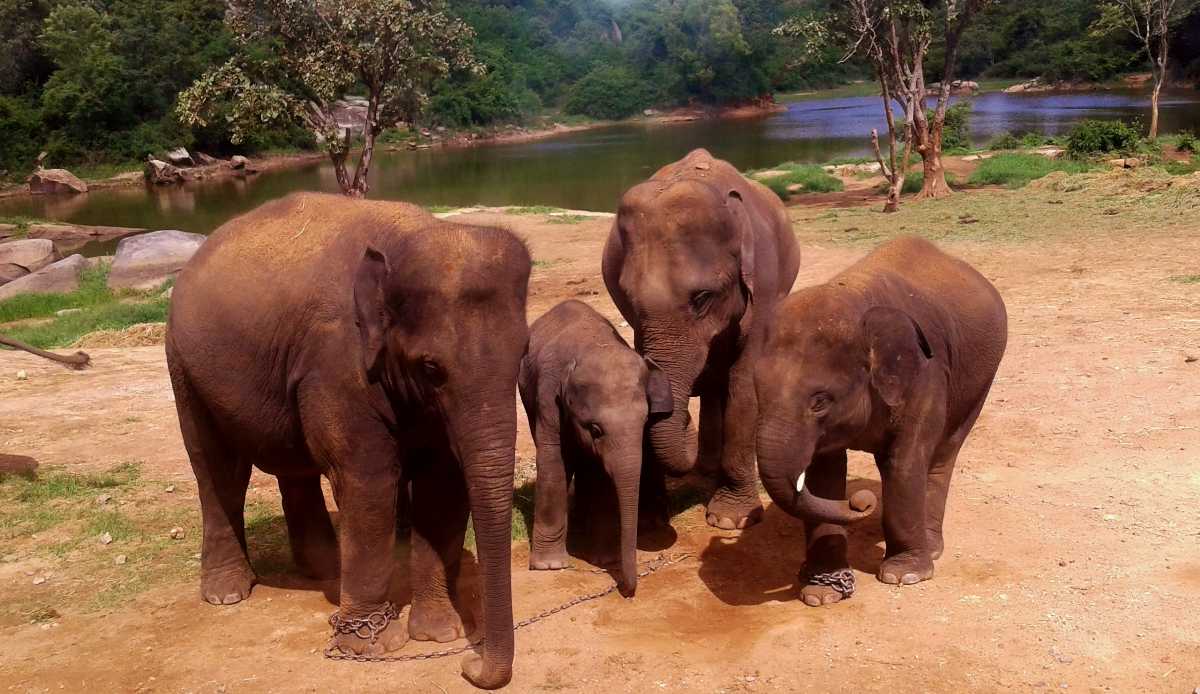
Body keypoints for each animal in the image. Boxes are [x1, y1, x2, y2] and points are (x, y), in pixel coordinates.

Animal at [165, 190, 530, 686]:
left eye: (524, 352)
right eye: (431, 367)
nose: (470, 665)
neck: (406, 240)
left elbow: (443, 484)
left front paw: (439, 635)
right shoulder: (337, 364)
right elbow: (369, 483)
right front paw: (371, 645)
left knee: (293, 466)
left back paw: (323, 568)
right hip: (184, 364)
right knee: (217, 467)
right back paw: (228, 593)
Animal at [518, 300, 676, 597]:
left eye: (645, 421)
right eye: (595, 430)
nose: (628, 591)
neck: (592, 345)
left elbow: (601, 472)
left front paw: (605, 558)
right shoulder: (547, 397)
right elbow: (554, 462)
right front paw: (549, 566)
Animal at [604, 147, 801, 528]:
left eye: (702, 297)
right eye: (629, 299)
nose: (683, 419)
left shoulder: (765, 283)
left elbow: (743, 383)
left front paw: (730, 520)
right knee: (711, 382)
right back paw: (706, 468)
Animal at [753, 236, 1008, 605]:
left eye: (820, 401)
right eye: (756, 390)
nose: (861, 502)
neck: (854, 297)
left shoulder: (926, 374)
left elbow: (904, 462)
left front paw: (904, 576)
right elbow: (824, 475)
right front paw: (822, 591)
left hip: (979, 378)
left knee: (941, 456)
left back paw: (931, 549)